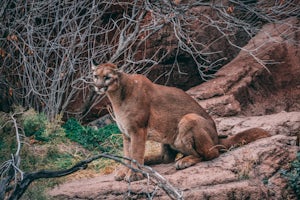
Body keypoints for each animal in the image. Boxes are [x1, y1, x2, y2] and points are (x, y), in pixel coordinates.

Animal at [91, 62, 270, 181]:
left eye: (107, 77)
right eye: (95, 76)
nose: (98, 86)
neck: (117, 96)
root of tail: (216, 137)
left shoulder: (138, 130)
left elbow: (135, 153)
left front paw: (133, 174)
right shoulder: (126, 134)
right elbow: (127, 154)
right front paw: (124, 170)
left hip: (188, 118)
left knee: (210, 154)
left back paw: (184, 161)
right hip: (166, 138)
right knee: (166, 158)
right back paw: (152, 160)